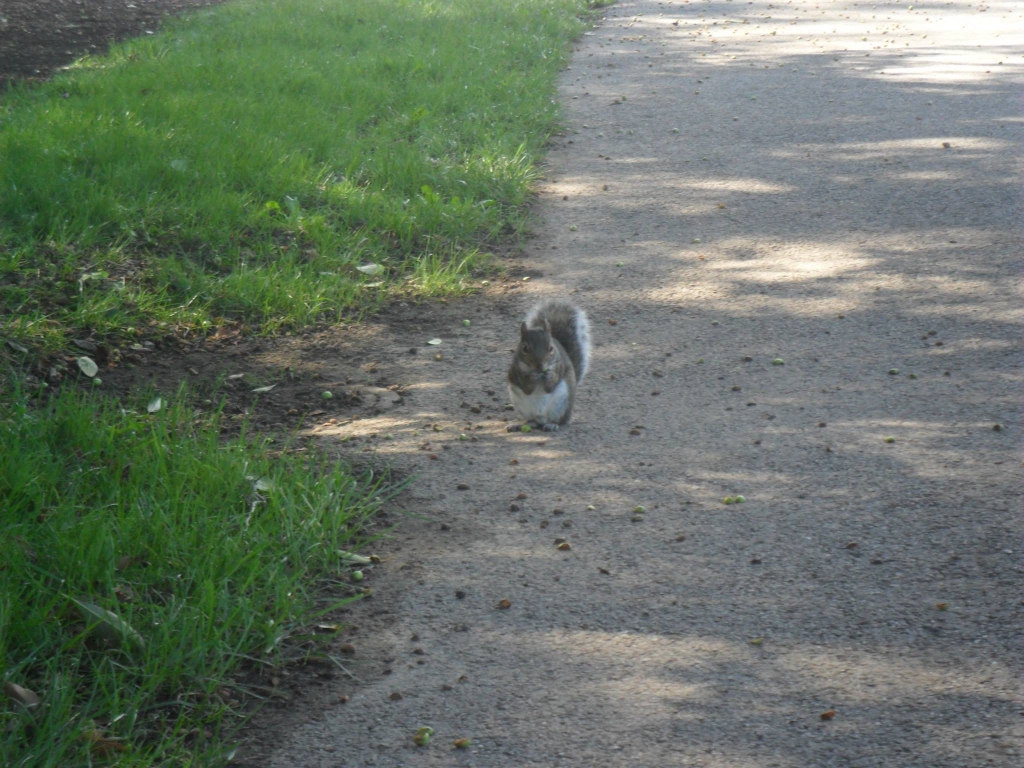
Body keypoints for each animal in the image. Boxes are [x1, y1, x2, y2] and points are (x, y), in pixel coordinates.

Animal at [507, 300, 591, 432]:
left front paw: (550, 376)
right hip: (521, 405)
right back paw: (521, 424)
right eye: (525, 348)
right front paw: (531, 378)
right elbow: (526, 388)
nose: (540, 366)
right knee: (533, 421)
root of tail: (541, 418)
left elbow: (550, 387)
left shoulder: (559, 366)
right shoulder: (515, 371)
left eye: (551, 348)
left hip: (562, 403)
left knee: (559, 421)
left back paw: (552, 424)